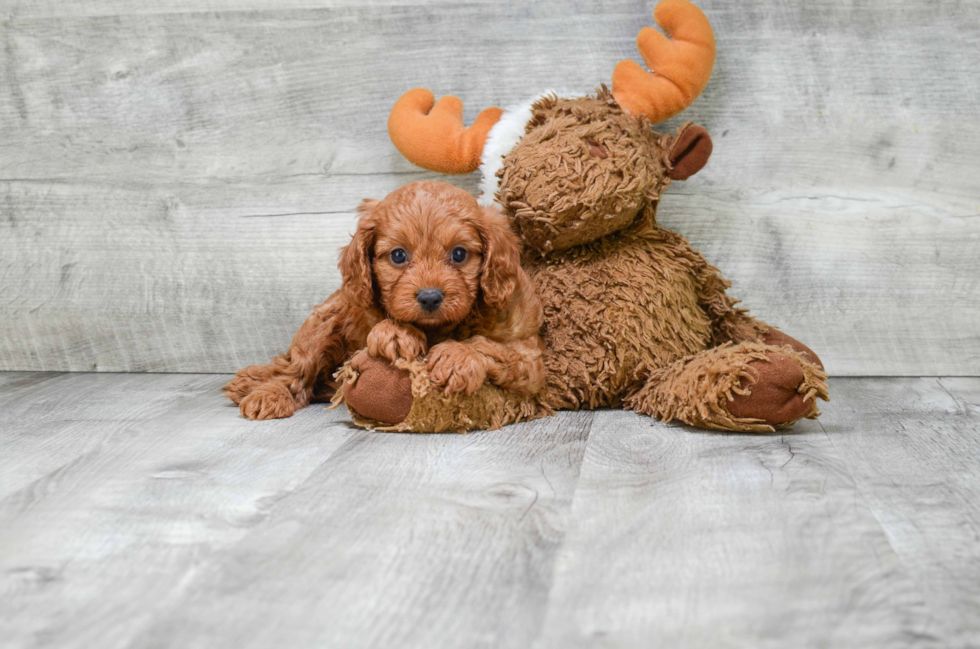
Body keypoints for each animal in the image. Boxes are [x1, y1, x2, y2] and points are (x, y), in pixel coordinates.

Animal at [225, 180, 548, 420]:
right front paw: (397, 332)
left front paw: (457, 356)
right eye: (398, 255)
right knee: (294, 368)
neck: (438, 328)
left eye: (459, 254)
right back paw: (266, 394)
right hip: (321, 324)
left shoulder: (529, 359)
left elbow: (492, 347)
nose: (430, 297)